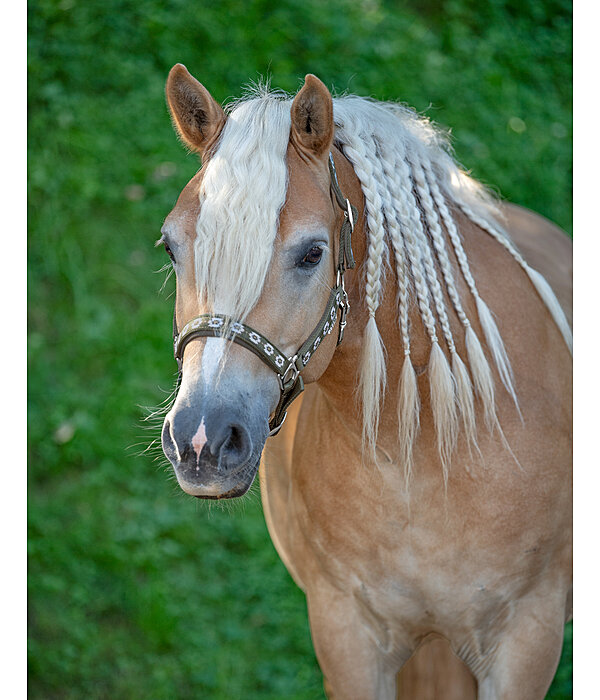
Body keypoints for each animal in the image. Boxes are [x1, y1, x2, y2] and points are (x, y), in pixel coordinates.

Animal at [158, 63, 572, 696]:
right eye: (171, 247)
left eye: (312, 253)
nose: (202, 440)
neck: (425, 449)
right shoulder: (346, 633)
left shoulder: (526, 639)